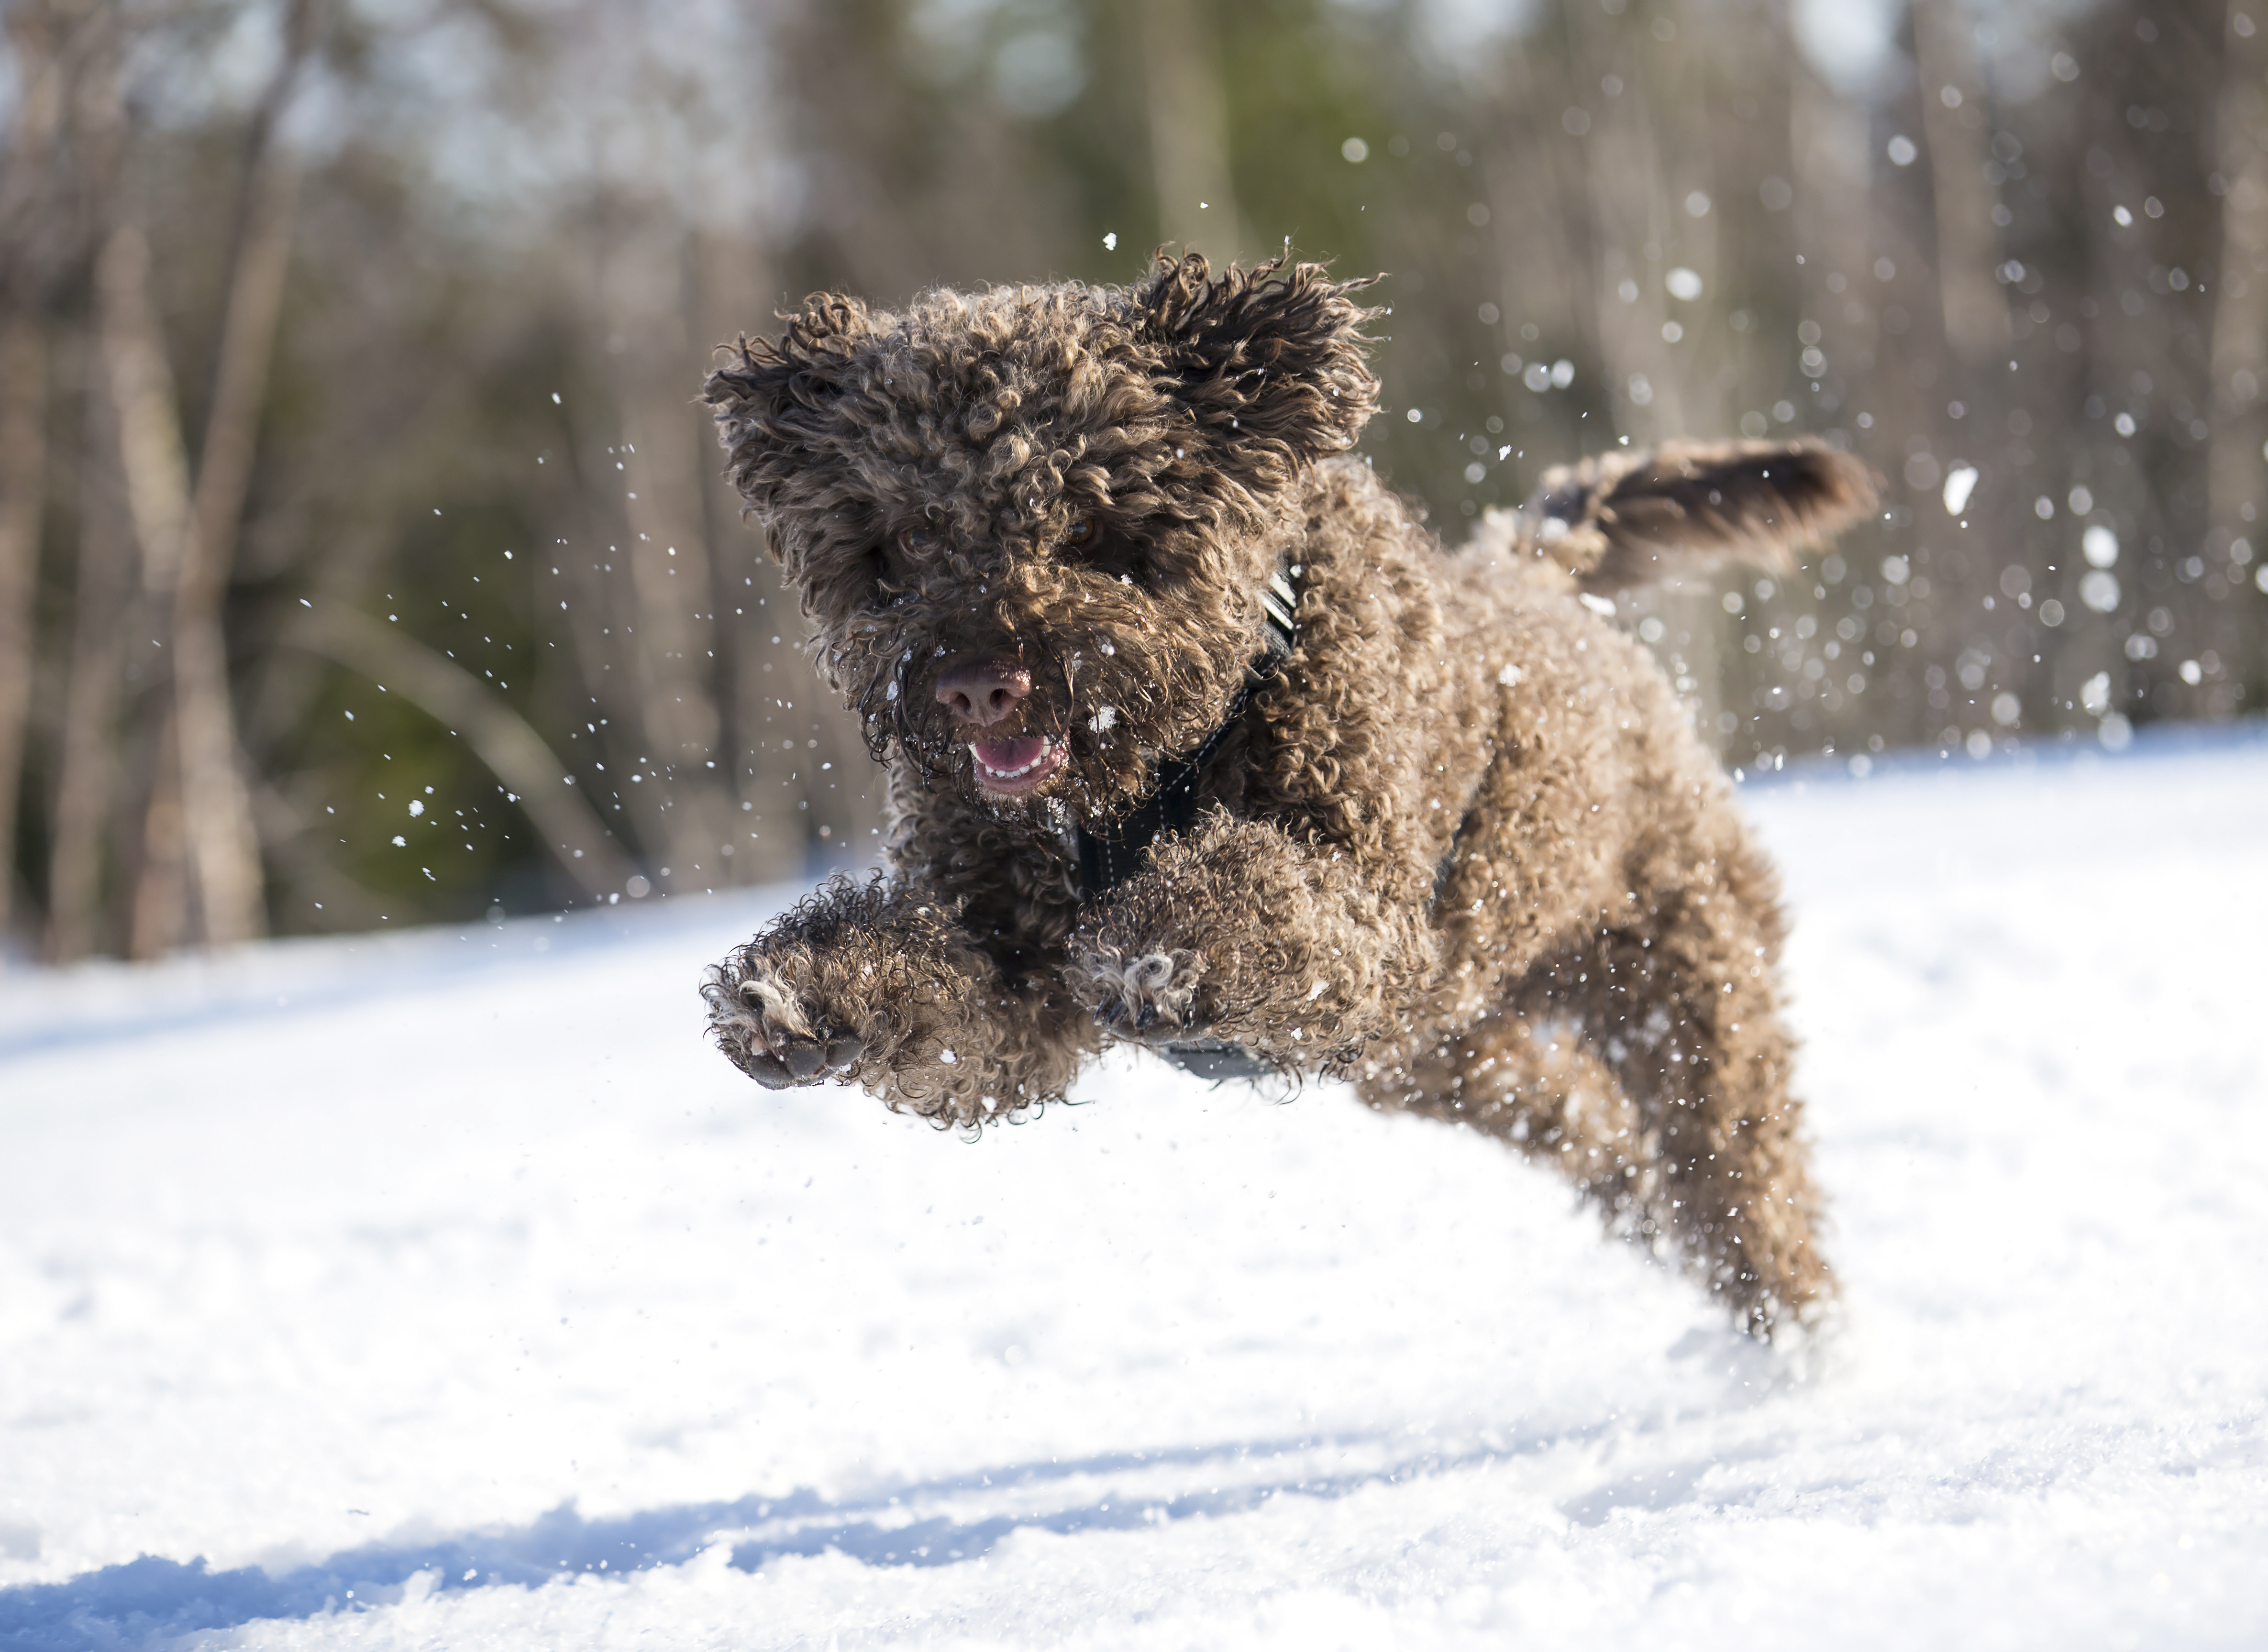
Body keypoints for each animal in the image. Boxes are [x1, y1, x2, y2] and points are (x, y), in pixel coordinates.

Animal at [703, 258, 1878, 1341]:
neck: (1143, 783)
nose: (975, 682)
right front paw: (805, 992)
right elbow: (956, 1007)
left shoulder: (1369, 914)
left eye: (1088, 524)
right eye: (904, 537)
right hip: (1448, 1055)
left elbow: (1264, 902)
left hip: (1684, 979)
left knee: (1739, 1173)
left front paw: (1171, 946)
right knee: (1598, 1132)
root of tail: (1541, 577)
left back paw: (1801, 1343)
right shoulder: (1015, 979)